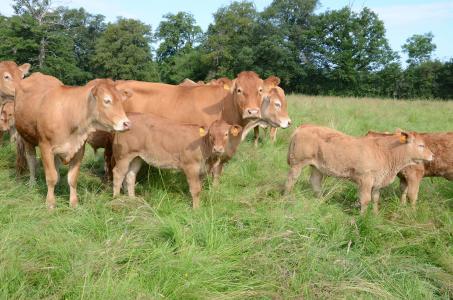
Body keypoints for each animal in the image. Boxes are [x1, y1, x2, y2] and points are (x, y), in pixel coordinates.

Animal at [14, 72, 131, 209]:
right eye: (107, 100)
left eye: (121, 100)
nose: (127, 123)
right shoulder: (45, 147)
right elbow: (51, 177)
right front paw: (50, 203)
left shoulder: (79, 150)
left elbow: (72, 178)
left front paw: (74, 203)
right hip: (26, 138)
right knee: (31, 161)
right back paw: (32, 183)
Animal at [111, 114, 242, 209]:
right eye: (211, 135)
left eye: (226, 134)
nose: (218, 149)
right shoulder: (190, 166)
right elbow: (195, 189)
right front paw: (196, 209)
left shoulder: (202, 170)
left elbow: (199, 189)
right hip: (124, 155)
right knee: (118, 173)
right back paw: (116, 199)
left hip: (137, 157)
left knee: (130, 175)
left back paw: (132, 199)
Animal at [284, 125, 432, 214]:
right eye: (421, 145)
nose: (432, 155)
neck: (385, 152)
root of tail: (303, 127)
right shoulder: (365, 179)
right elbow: (365, 199)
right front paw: (363, 216)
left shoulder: (377, 181)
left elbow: (375, 198)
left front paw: (375, 215)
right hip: (297, 163)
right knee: (290, 180)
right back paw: (286, 198)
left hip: (318, 166)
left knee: (315, 182)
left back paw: (321, 201)